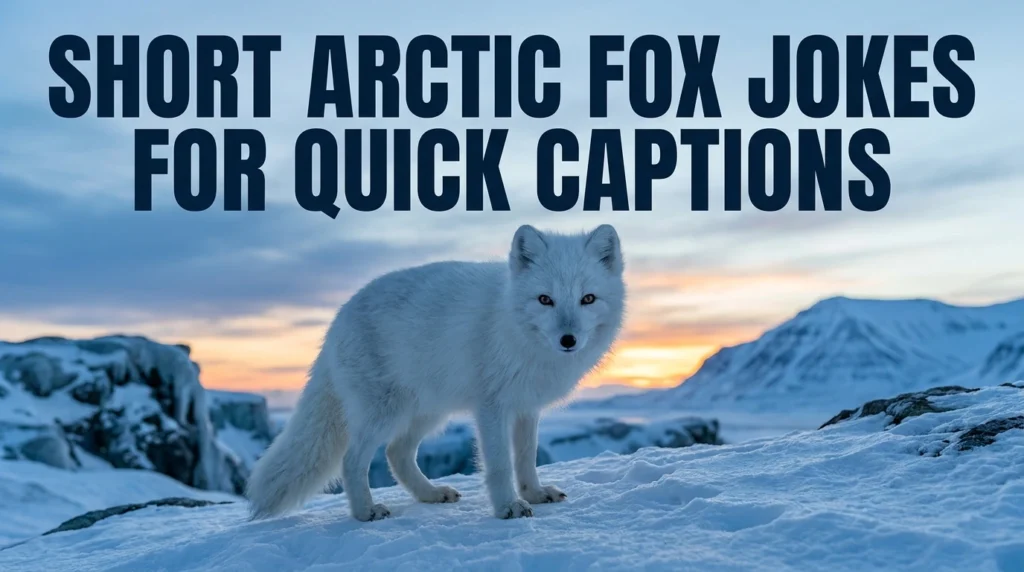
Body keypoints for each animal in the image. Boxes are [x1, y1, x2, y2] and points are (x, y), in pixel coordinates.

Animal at [245, 224, 626, 521]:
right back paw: (365, 512)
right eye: (545, 299)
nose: (568, 339)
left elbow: (526, 458)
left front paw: (533, 493)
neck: (516, 330)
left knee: (396, 454)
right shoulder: (491, 407)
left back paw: (429, 494)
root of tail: (337, 320)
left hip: (427, 412)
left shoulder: (526, 407)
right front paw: (508, 507)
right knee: (353, 460)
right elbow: (501, 464)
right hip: (384, 412)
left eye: (588, 299)